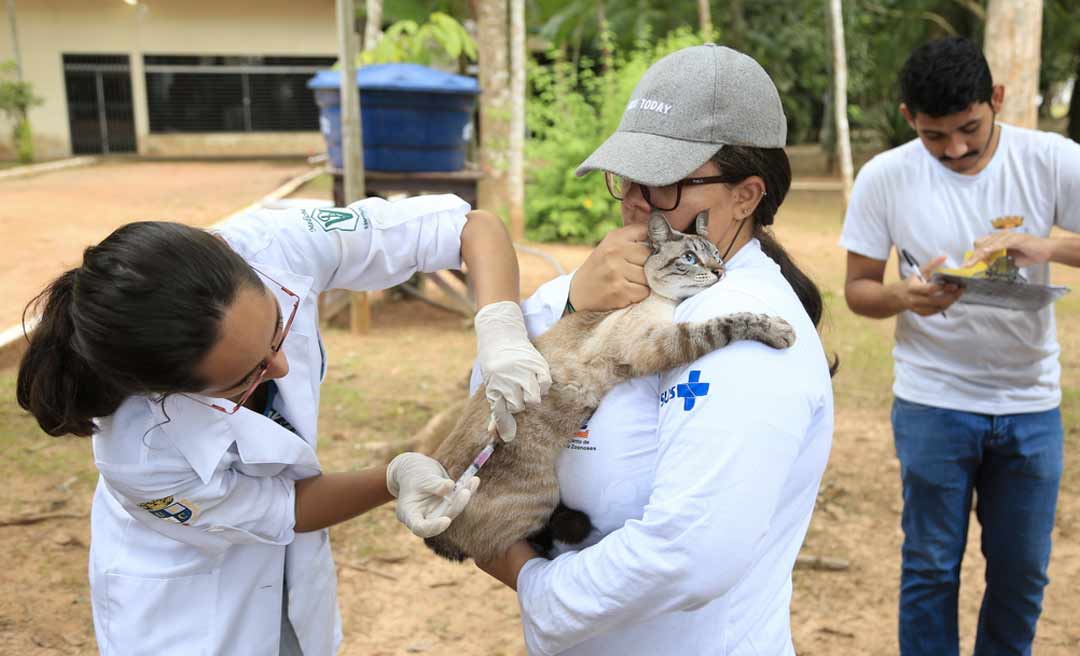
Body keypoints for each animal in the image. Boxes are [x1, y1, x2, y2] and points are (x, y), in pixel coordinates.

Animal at [423, 211, 794, 566]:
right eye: (690, 258)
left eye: (716, 254)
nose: (719, 270)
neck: (661, 301)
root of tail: (434, 521)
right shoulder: (655, 344)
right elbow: (725, 323)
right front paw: (780, 329)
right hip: (541, 498)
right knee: (515, 545)